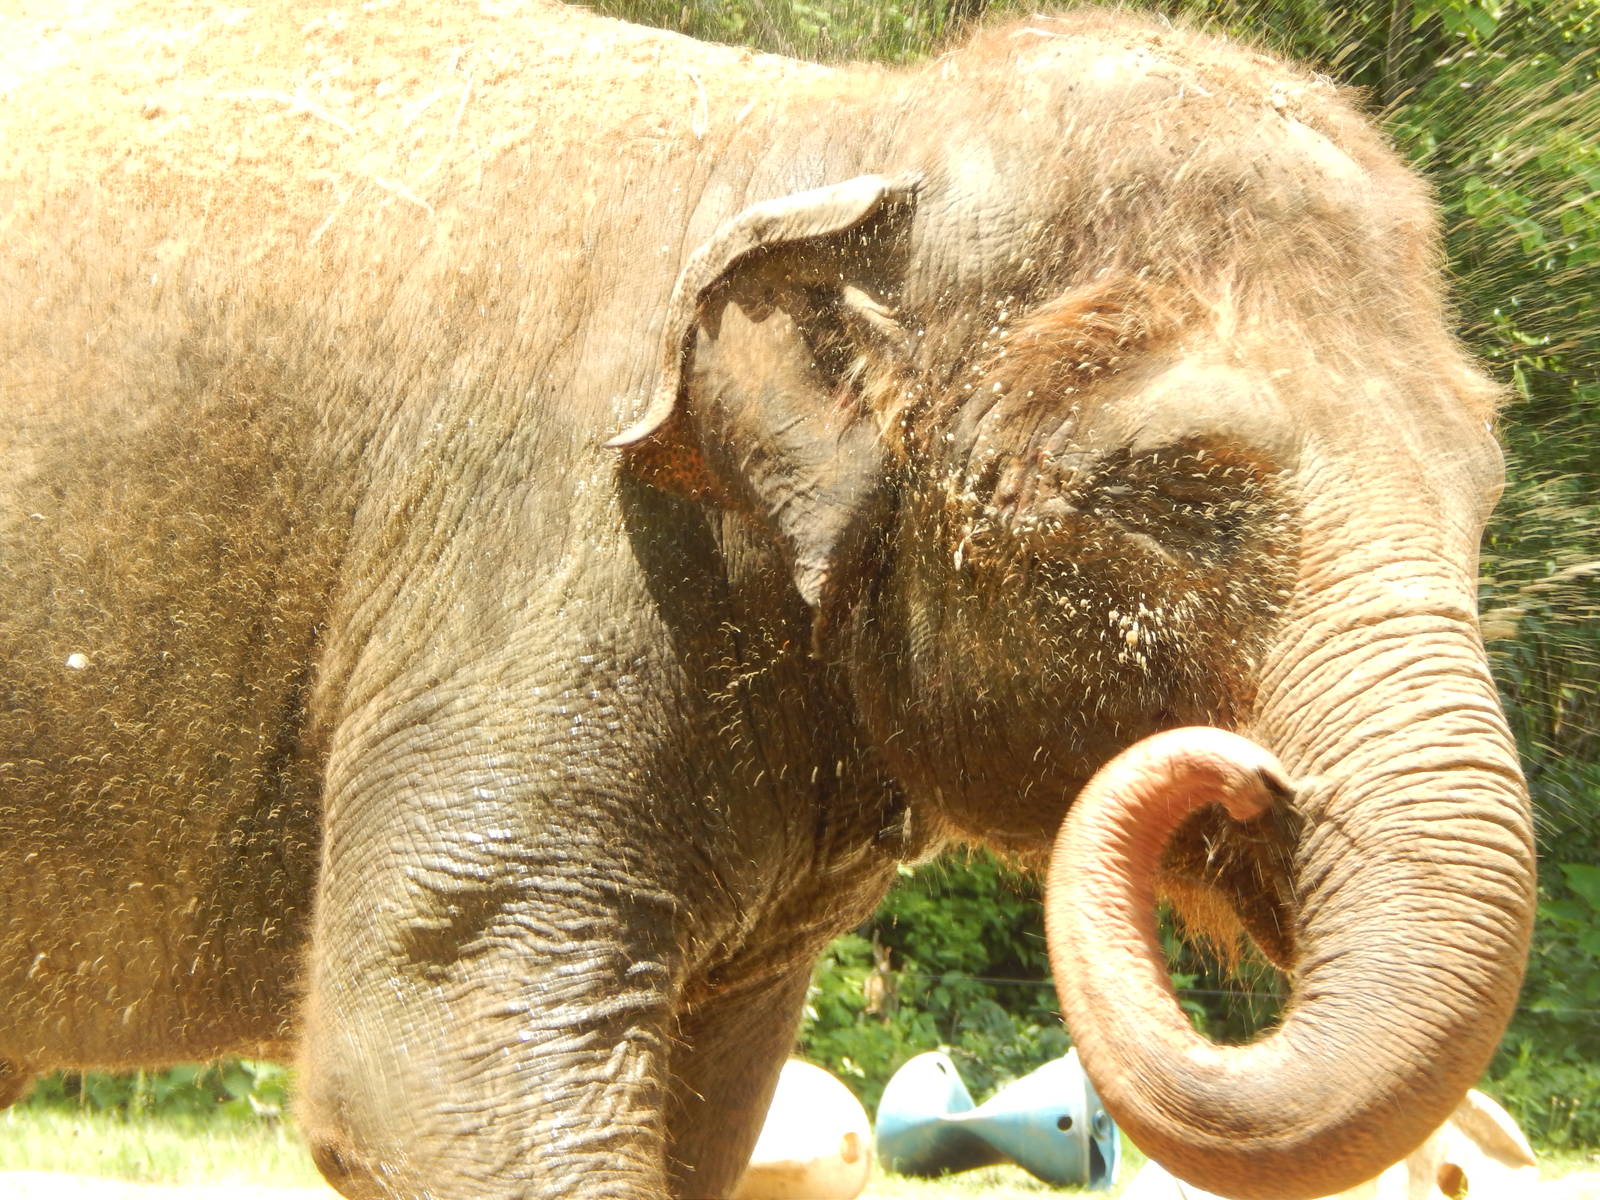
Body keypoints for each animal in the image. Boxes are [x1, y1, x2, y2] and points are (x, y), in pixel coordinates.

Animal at [0, 3, 1535, 1199]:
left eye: (1485, 491)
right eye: (1175, 492)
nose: (1245, 774)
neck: (844, 133)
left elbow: (709, 1108)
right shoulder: (542, 554)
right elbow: (417, 1062)